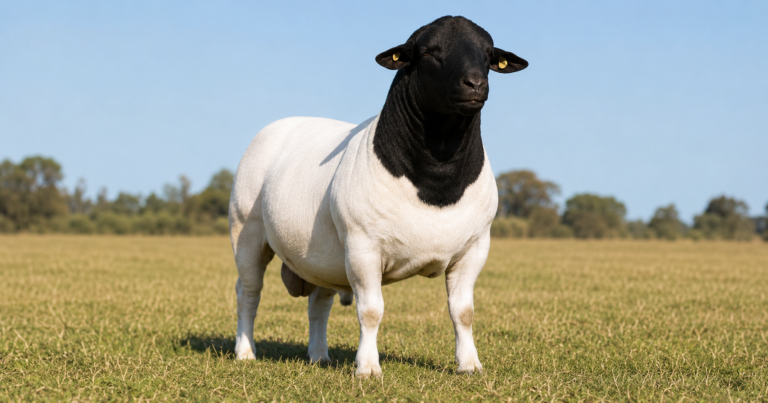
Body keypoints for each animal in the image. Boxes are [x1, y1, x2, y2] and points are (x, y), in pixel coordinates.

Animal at [229, 15, 528, 378]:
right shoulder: (363, 247)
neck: (437, 178)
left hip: (322, 257)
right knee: (249, 293)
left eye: (488, 54)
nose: (475, 84)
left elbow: (464, 311)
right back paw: (245, 351)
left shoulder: (475, 247)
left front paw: (469, 365)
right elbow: (370, 311)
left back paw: (319, 355)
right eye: (428, 52)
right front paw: (368, 368)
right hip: (247, 231)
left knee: (319, 303)